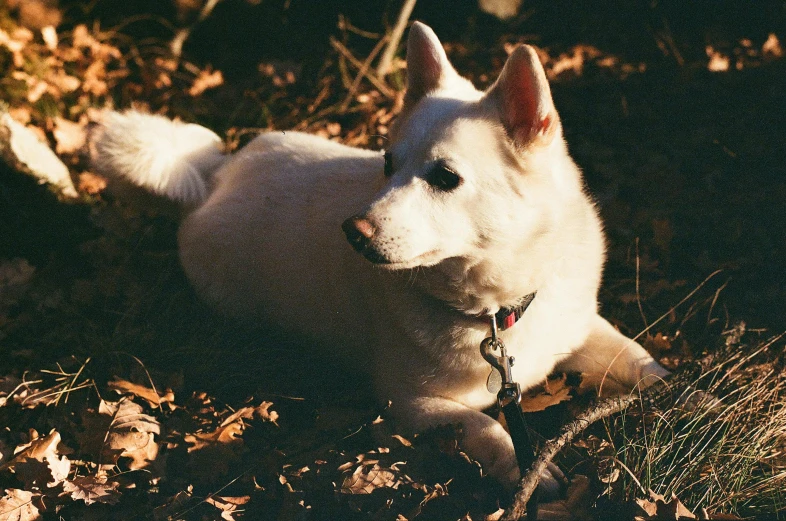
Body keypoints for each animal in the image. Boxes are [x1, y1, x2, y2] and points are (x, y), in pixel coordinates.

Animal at [93, 23, 668, 488]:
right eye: (388, 163)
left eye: (445, 177)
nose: (352, 231)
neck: (497, 310)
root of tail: (219, 174)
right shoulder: (411, 404)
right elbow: (486, 425)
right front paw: (526, 470)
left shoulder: (581, 327)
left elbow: (641, 360)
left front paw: (684, 397)